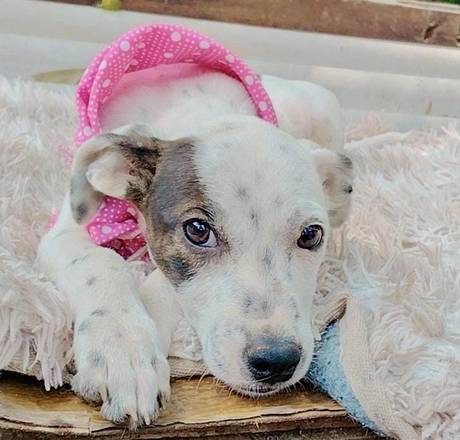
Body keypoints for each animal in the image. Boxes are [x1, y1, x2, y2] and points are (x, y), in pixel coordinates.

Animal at [37, 61, 352, 426]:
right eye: (198, 230)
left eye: (311, 235)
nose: (276, 361)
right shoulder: (66, 232)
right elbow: (99, 263)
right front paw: (121, 349)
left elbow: (162, 281)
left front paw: (142, 349)